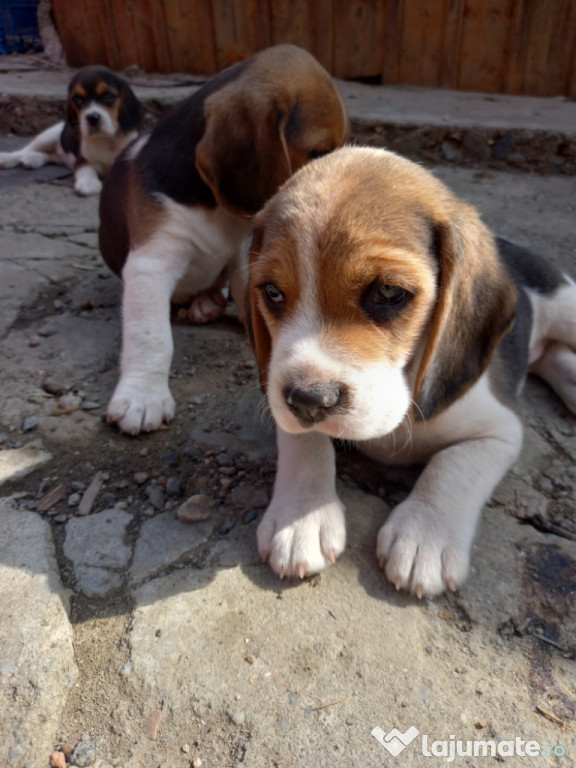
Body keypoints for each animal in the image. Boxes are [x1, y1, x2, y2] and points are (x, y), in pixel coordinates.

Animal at [0, 65, 143, 195]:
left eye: (108, 96)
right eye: (77, 99)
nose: (92, 118)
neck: (107, 139)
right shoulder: (82, 158)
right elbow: (85, 168)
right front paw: (88, 183)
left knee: (49, 155)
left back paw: (33, 159)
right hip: (48, 136)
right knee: (25, 149)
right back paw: (8, 158)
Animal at [99, 45, 348, 436]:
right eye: (319, 153)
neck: (214, 206)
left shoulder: (247, 254)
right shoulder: (153, 260)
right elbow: (151, 335)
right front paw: (142, 397)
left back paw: (207, 303)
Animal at [246, 147, 576, 596]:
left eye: (388, 292)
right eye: (272, 292)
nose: (309, 400)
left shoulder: (499, 431)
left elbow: (452, 464)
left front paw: (425, 536)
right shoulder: (282, 399)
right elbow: (304, 440)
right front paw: (302, 516)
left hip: (567, 305)